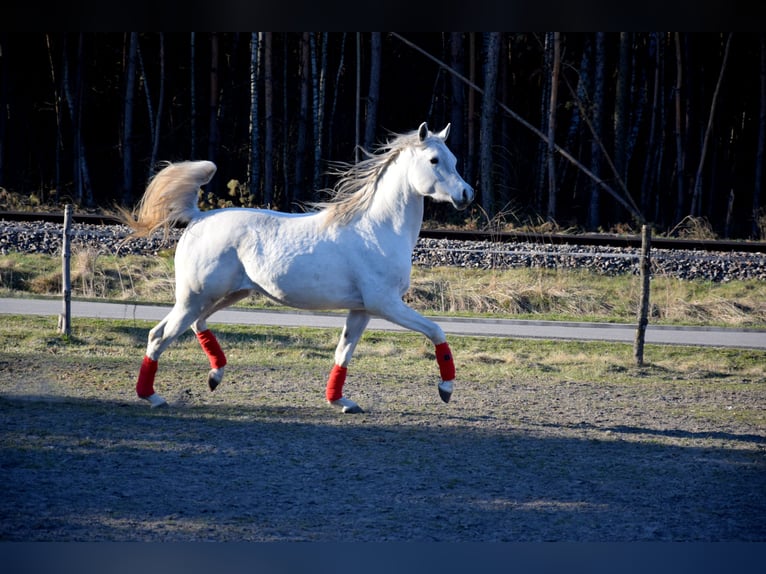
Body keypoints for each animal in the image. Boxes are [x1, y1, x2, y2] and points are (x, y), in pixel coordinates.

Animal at [120, 122, 474, 413]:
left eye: (454, 158)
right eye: (434, 160)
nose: (466, 194)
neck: (377, 230)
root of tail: (197, 217)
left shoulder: (361, 310)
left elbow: (343, 353)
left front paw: (340, 402)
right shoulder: (385, 304)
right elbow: (436, 330)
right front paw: (446, 389)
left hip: (227, 295)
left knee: (194, 325)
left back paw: (214, 376)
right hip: (194, 297)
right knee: (159, 335)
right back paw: (153, 397)